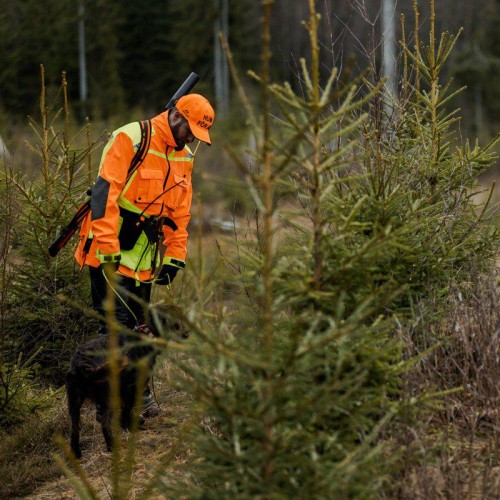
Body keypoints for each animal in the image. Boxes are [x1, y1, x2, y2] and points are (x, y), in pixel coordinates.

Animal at [66, 304, 188, 458]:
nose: (188, 332)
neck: (146, 336)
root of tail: (82, 364)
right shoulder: (133, 386)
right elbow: (127, 409)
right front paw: (129, 427)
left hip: (74, 402)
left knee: (74, 428)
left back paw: (76, 453)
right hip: (107, 396)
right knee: (104, 423)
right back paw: (112, 447)